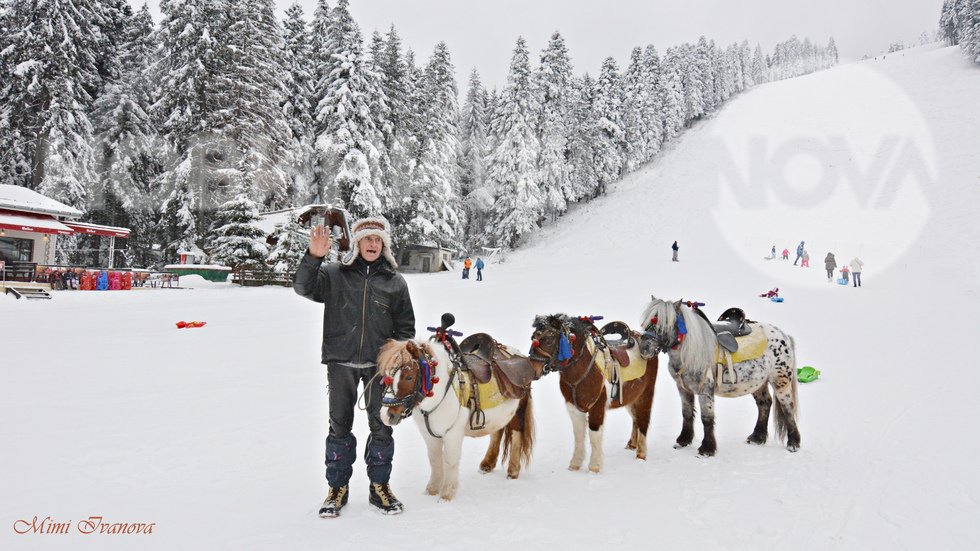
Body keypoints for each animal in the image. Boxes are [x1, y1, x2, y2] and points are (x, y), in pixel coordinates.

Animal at [528, 314, 660, 474]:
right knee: (636, 419)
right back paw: (632, 445)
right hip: (630, 398)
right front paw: (575, 464)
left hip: (645, 395)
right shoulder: (574, 408)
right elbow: (579, 435)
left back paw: (641, 453)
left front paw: (594, 467)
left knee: (643, 420)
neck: (583, 371)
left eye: (549, 340)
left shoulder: (597, 407)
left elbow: (594, 435)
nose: (532, 369)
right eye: (533, 337)